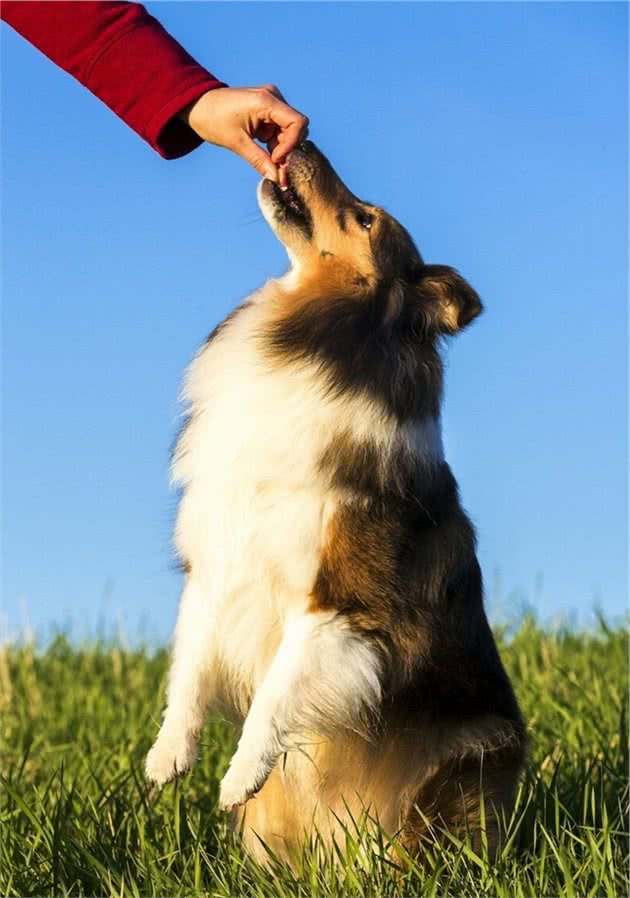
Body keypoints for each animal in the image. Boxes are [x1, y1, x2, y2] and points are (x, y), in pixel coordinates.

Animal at [146, 140, 524, 860]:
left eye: (366, 220)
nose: (300, 139)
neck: (317, 347)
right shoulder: (215, 566)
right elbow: (189, 666)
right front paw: (167, 756)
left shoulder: (343, 600)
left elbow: (276, 689)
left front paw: (239, 772)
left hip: (466, 758)